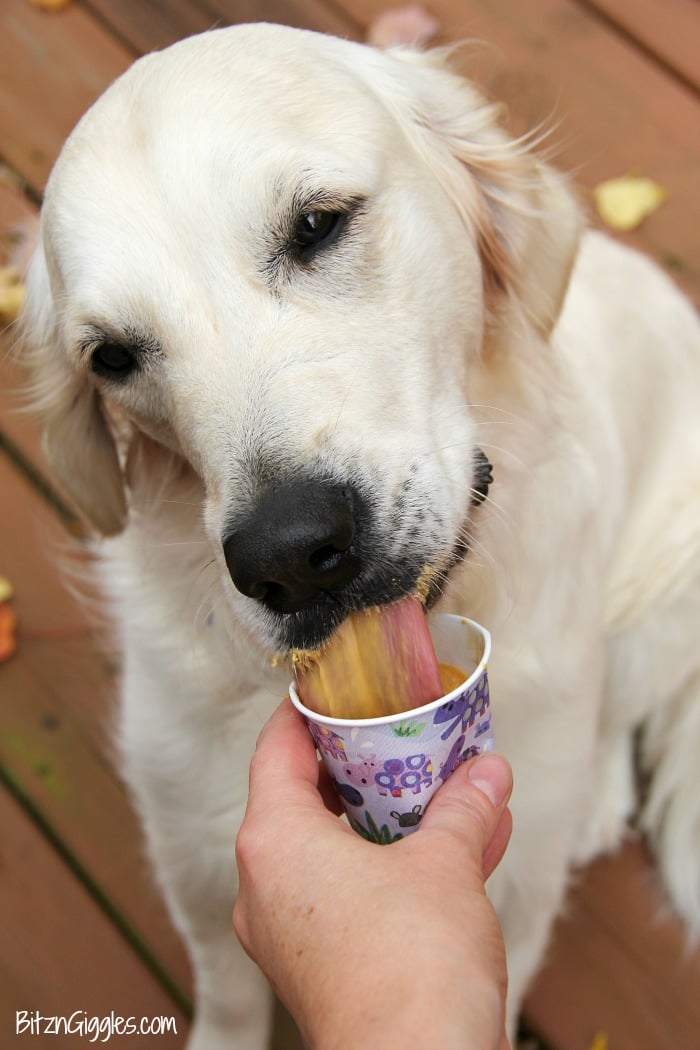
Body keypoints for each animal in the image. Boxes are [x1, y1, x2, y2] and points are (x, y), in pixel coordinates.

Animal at [20, 20, 700, 1045]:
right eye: (112, 358)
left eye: (317, 225)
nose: (289, 559)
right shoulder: (190, 838)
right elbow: (228, 993)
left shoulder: (515, 881)